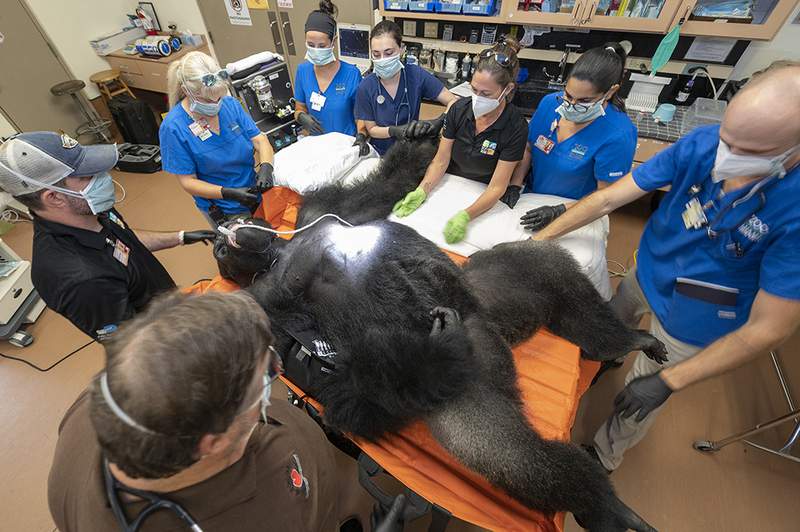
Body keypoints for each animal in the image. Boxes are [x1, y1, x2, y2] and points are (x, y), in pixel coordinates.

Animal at [211, 139, 664, 528]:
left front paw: (421, 141)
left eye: (230, 232)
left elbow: (382, 190)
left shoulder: (319, 214)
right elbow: (348, 395)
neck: (281, 252)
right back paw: (600, 503)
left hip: (486, 291)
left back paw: (621, 341)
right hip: (470, 380)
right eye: (220, 248)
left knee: (549, 270)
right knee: (512, 456)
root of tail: (497, 340)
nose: (222, 233)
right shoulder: (269, 302)